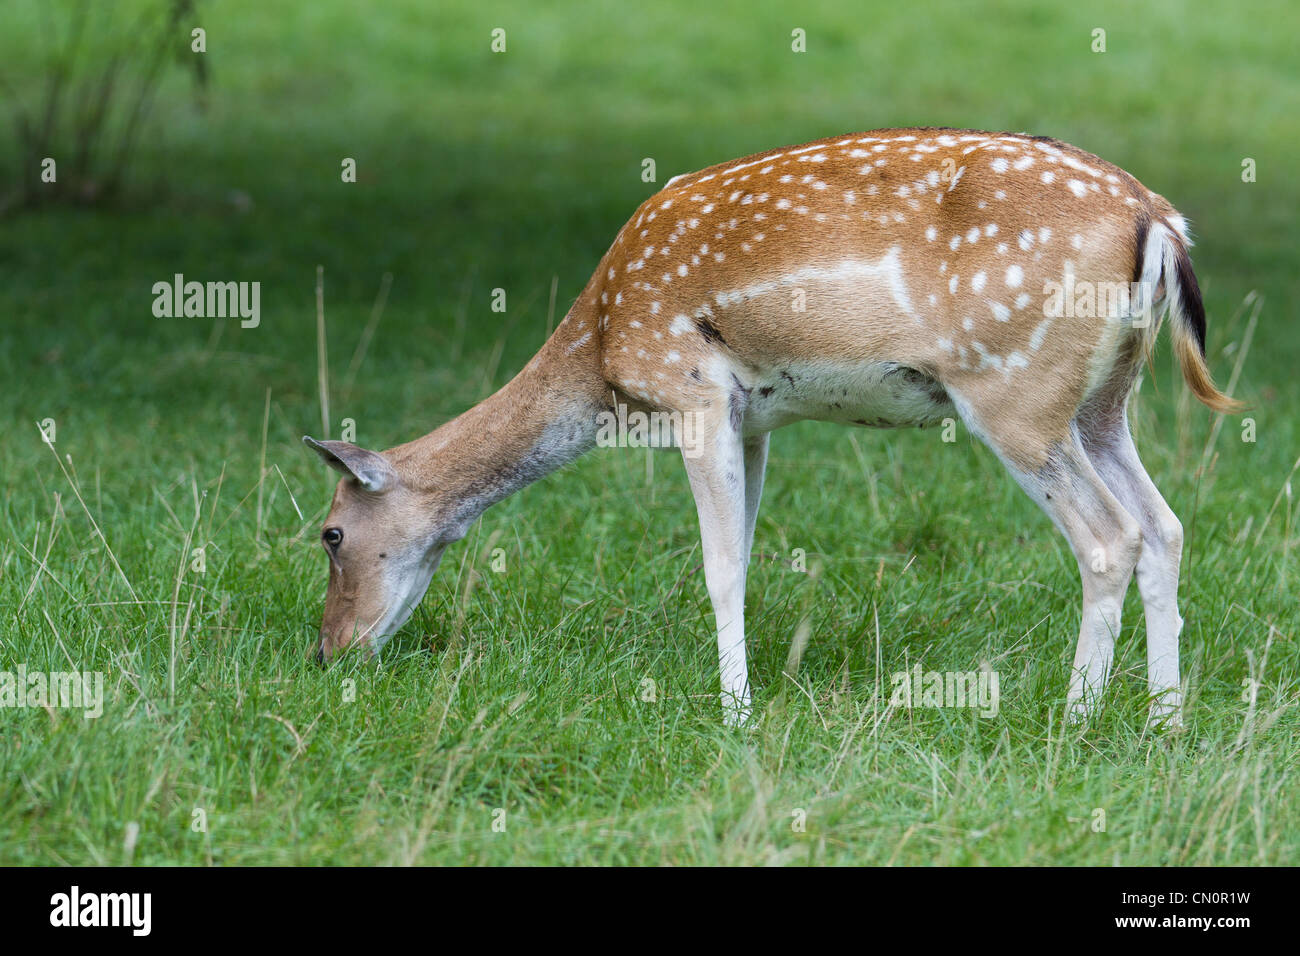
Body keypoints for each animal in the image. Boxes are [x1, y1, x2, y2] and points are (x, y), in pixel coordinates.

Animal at [301, 125, 1237, 723]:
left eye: (331, 533)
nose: (325, 653)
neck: (603, 350)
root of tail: (1159, 223)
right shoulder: (756, 420)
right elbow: (746, 559)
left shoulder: (690, 391)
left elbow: (718, 567)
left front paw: (735, 716)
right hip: (1104, 402)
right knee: (1165, 525)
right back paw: (1165, 720)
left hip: (1016, 391)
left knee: (1110, 537)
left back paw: (1076, 721)